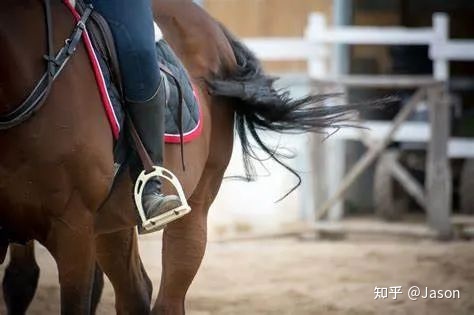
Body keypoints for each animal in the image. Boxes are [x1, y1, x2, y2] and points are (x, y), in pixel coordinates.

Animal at [0, 0, 366, 314]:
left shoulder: (73, 231)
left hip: (194, 208)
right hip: (112, 221)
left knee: (167, 299)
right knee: (134, 293)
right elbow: (19, 282)